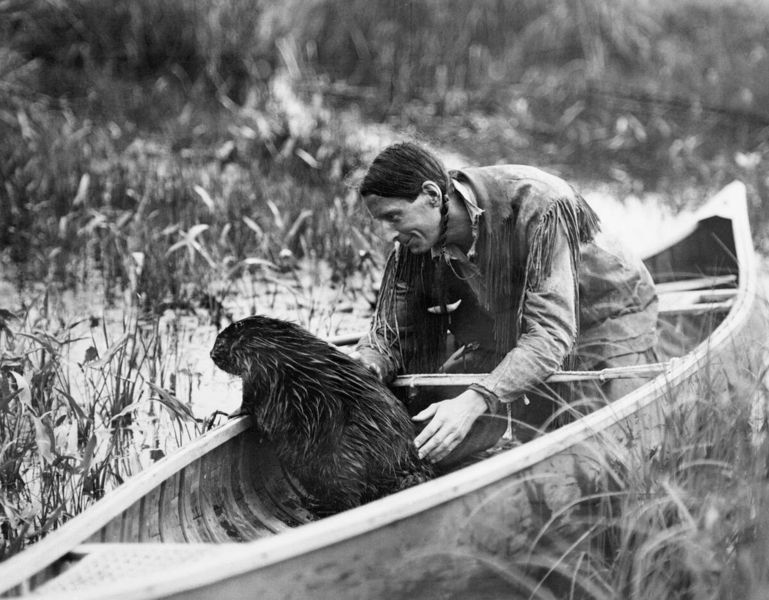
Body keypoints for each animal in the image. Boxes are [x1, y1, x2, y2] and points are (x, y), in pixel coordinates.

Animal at [210, 314, 432, 516]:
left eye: (219, 341)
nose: (211, 354)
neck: (266, 340)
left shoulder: (257, 368)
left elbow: (249, 396)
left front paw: (231, 414)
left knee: (350, 499)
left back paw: (318, 506)